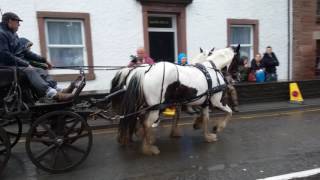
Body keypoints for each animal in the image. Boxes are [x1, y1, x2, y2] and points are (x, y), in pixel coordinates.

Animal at [112, 45, 240, 155]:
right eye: (239, 59)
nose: (237, 77)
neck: (211, 69)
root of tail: (145, 71)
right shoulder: (216, 101)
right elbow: (229, 112)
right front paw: (218, 128)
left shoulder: (203, 102)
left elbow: (204, 118)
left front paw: (205, 134)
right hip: (155, 106)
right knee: (145, 122)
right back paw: (148, 148)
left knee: (136, 118)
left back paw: (132, 138)